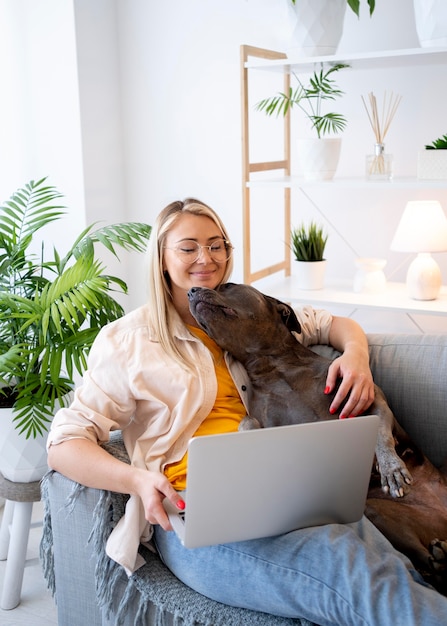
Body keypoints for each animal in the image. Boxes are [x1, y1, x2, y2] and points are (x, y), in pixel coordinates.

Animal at [187, 280, 447, 592]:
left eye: (227, 285)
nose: (190, 291)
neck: (274, 367)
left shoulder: (369, 397)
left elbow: (381, 433)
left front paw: (391, 468)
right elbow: (249, 422)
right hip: (380, 514)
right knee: (427, 563)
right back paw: (440, 559)